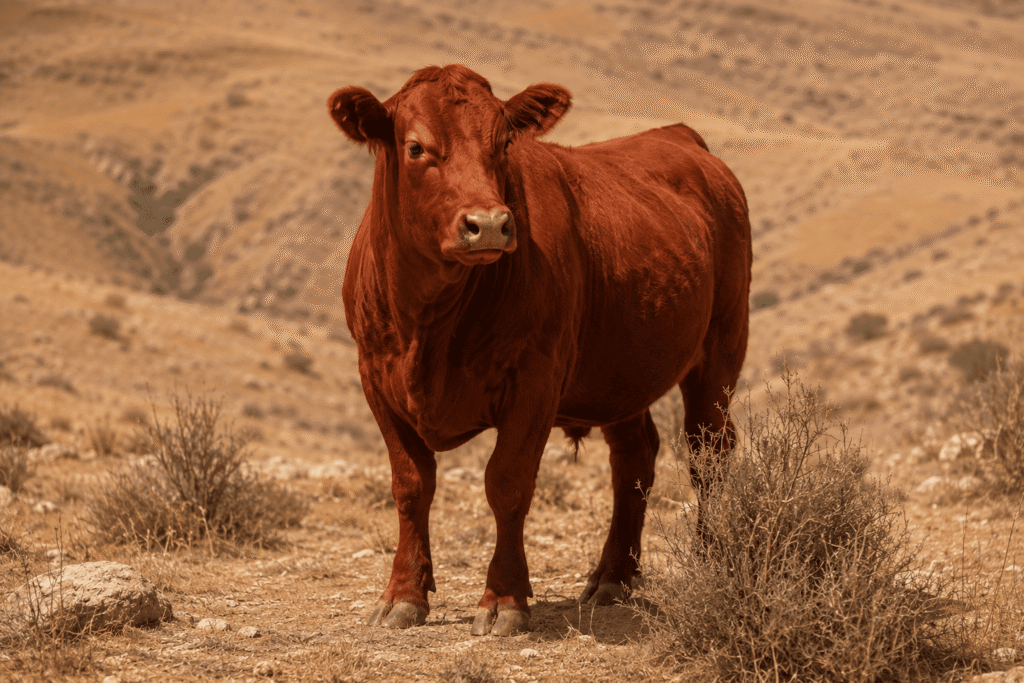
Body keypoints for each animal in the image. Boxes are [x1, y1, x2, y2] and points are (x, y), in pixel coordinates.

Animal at [327, 64, 751, 637]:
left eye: (503, 143)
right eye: (415, 147)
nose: (488, 223)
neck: (429, 323)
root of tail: (679, 136)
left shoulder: (535, 378)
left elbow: (507, 482)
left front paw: (504, 600)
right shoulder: (376, 376)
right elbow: (411, 484)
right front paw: (403, 596)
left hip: (721, 348)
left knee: (709, 453)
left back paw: (707, 564)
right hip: (619, 370)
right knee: (635, 458)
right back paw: (612, 578)